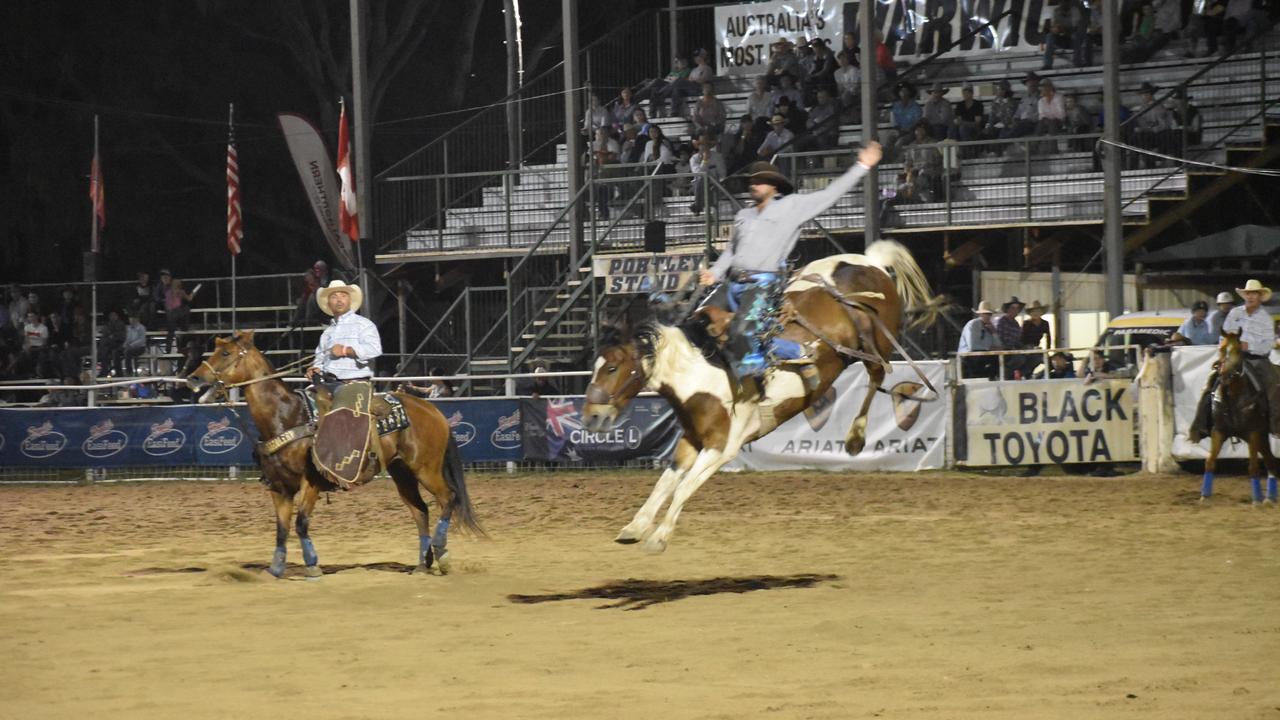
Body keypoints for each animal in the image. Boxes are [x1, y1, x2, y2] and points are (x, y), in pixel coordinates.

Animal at [183, 333, 478, 576]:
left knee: (448, 497)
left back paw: (441, 553)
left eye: (225, 353)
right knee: (420, 511)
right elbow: (281, 529)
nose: (193, 378)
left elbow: (301, 523)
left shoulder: (311, 481)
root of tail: (432, 410)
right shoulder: (279, 486)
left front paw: (312, 566)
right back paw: (422, 564)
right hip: (401, 472)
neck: (288, 416)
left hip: (425, 468)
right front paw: (276, 569)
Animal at [586, 237, 936, 548]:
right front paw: (635, 526)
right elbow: (666, 483)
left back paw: (855, 437)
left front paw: (658, 537)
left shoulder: (721, 447)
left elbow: (684, 487)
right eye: (596, 365)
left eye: (613, 368)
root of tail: (871, 262)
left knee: (877, 375)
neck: (702, 373)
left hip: (876, 343)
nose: (591, 417)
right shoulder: (691, 440)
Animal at [1198, 330, 1280, 504]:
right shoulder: (1219, 431)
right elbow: (1210, 461)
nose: (1225, 374)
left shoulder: (1253, 432)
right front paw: (1204, 496)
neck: (1234, 397)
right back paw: (1270, 498)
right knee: (1270, 460)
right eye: (1221, 349)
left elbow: (1253, 466)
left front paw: (1257, 500)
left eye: (1238, 350)